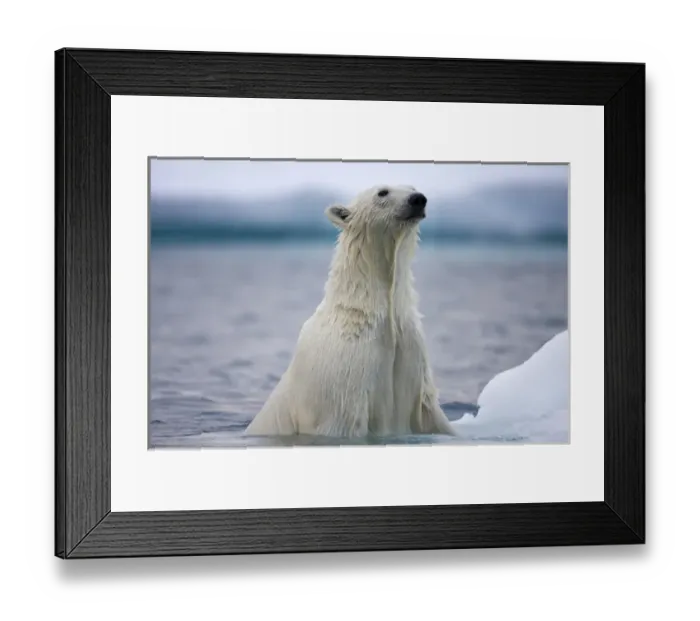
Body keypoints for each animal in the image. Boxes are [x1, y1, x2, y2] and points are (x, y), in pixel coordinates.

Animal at [244, 184, 456, 439]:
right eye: (382, 192)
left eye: (413, 188)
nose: (418, 199)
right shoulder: (343, 376)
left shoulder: (411, 355)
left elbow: (431, 414)